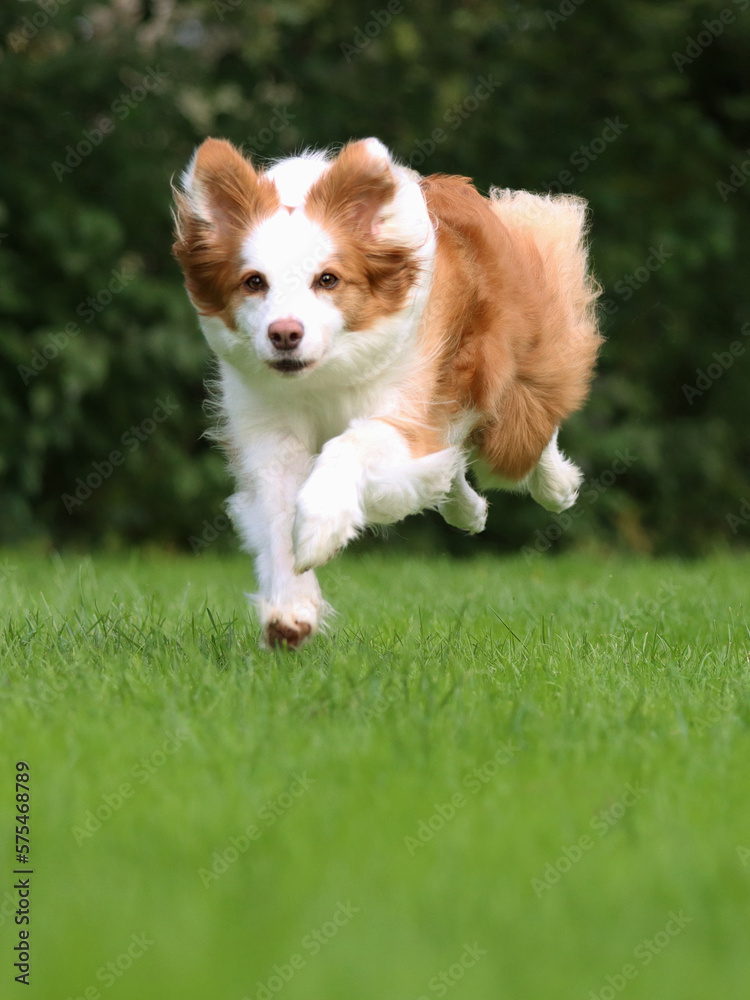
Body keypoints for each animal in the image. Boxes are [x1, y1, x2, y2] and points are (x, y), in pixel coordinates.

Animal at [172, 137, 604, 648]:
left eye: (328, 279)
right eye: (253, 282)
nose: (284, 335)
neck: (323, 377)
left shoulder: (408, 407)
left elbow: (352, 445)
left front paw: (320, 527)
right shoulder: (267, 430)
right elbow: (277, 513)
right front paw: (291, 610)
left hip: (509, 404)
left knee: (526, 439)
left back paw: (559, 485)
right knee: (451, 466)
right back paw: (467, 509)